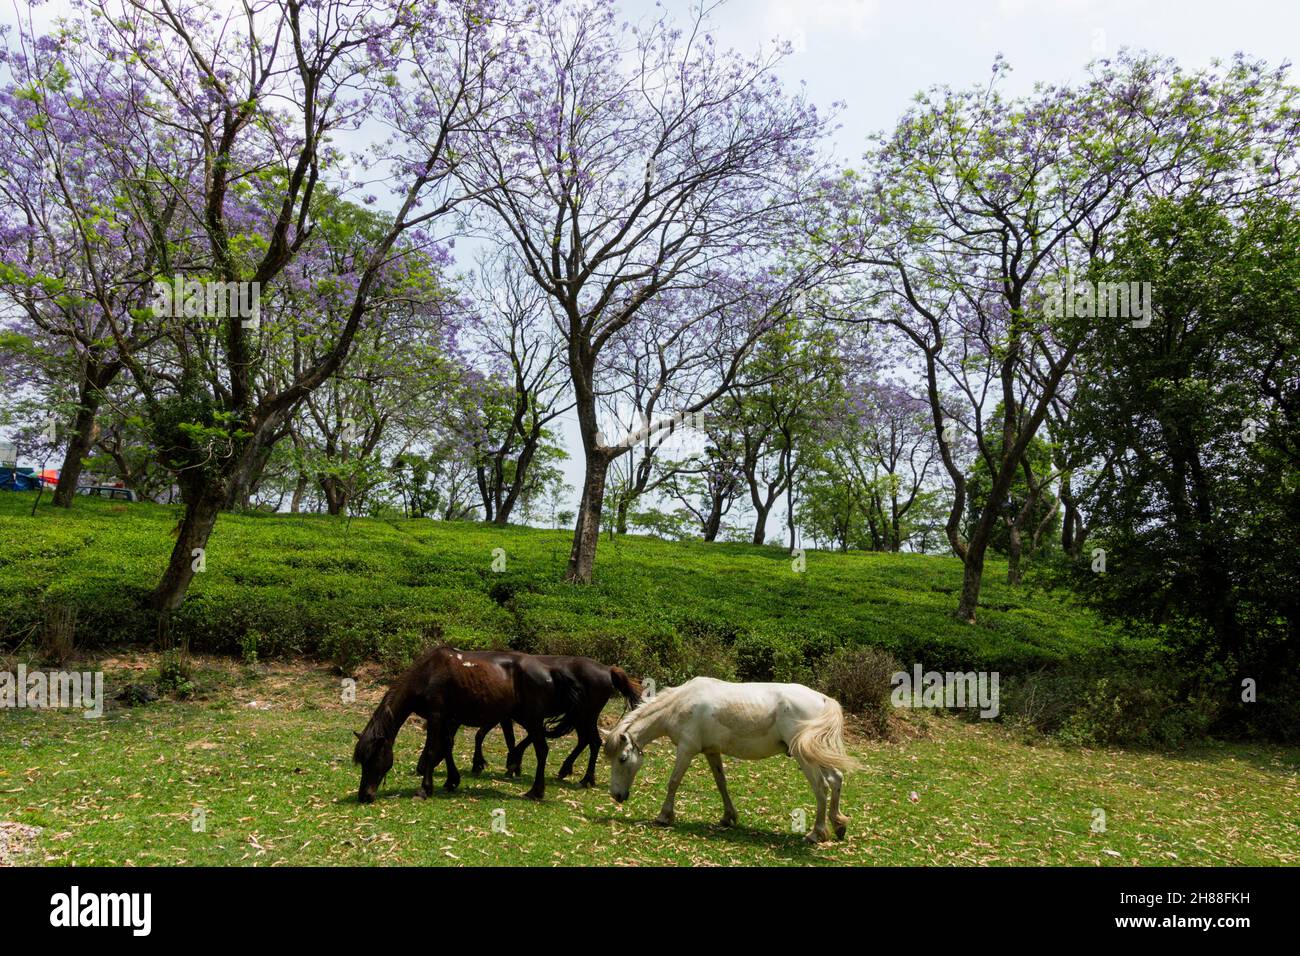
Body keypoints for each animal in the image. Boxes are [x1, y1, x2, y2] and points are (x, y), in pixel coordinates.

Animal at [352, 646, 583, 803]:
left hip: (532, 720)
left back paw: (535, 791)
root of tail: (550, 671)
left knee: (542, 750)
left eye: (373, 759)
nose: (364, 795)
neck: (428, 674)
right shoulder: (446, 719)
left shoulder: (436, 716)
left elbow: (432, 750)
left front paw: (424, 789)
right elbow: (446, 748)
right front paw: (451, 780)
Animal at [603, 677, 858, 843]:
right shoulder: (711, 752)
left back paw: (816, 833)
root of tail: (823, 699)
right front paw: (728, 817)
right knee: (836, 779)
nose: (616, 795)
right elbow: (721, 784)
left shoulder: (686, 749)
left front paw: (664, 816)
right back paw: (838, 825)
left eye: (622, 759)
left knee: (821, 787)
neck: (680, 704)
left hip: (805, 757)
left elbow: (673, 782)